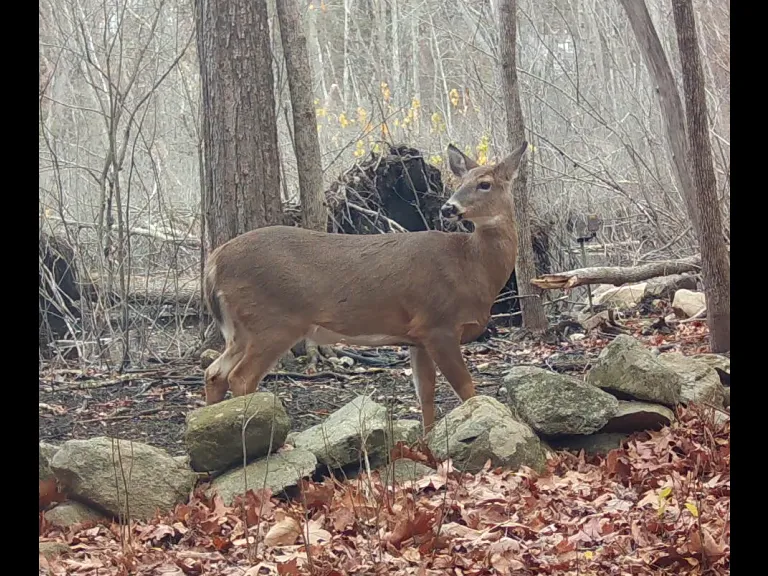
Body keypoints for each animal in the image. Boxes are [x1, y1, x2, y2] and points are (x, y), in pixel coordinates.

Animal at [202, 140, 528, 434]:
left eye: (484, 184)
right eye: (462, 181)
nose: (449, 207)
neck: (471, 267)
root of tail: (213, 262)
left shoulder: (418, 336)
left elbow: (425, 394)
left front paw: (427, 445)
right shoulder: (439, 324)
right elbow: (467, 389)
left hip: (242, 328)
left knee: (214, 372)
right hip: (273, 321)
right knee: (241, 377)